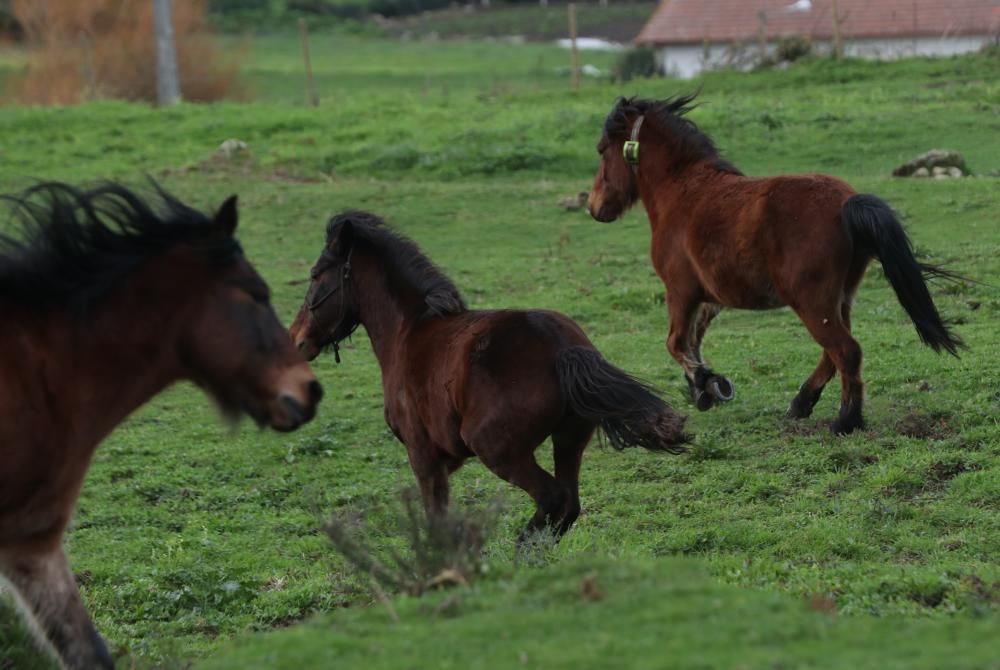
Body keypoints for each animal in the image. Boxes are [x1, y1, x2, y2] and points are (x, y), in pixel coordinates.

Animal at [290, 213, 688, 544]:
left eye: (315, 275)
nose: (296, 339)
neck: (409, 331)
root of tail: (563, 347)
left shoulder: (423, 455)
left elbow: (437, 518)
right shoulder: (446, 458)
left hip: (496, 447)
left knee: (553, 498)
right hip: (568, 440)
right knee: (569, 505)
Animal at [588, 94, 964, 438]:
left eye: (602, 149)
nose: (594, 207)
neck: (681, 191)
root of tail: (847, 203)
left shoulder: (680, 292)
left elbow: (676, 342)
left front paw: (707, 382)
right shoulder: (711, 298)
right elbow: (693, 340)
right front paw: (704, 388)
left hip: (811, 302)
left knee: (846, 351)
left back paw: (846, 421)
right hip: (839, 299)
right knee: (833, 353)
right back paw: (801, 404)